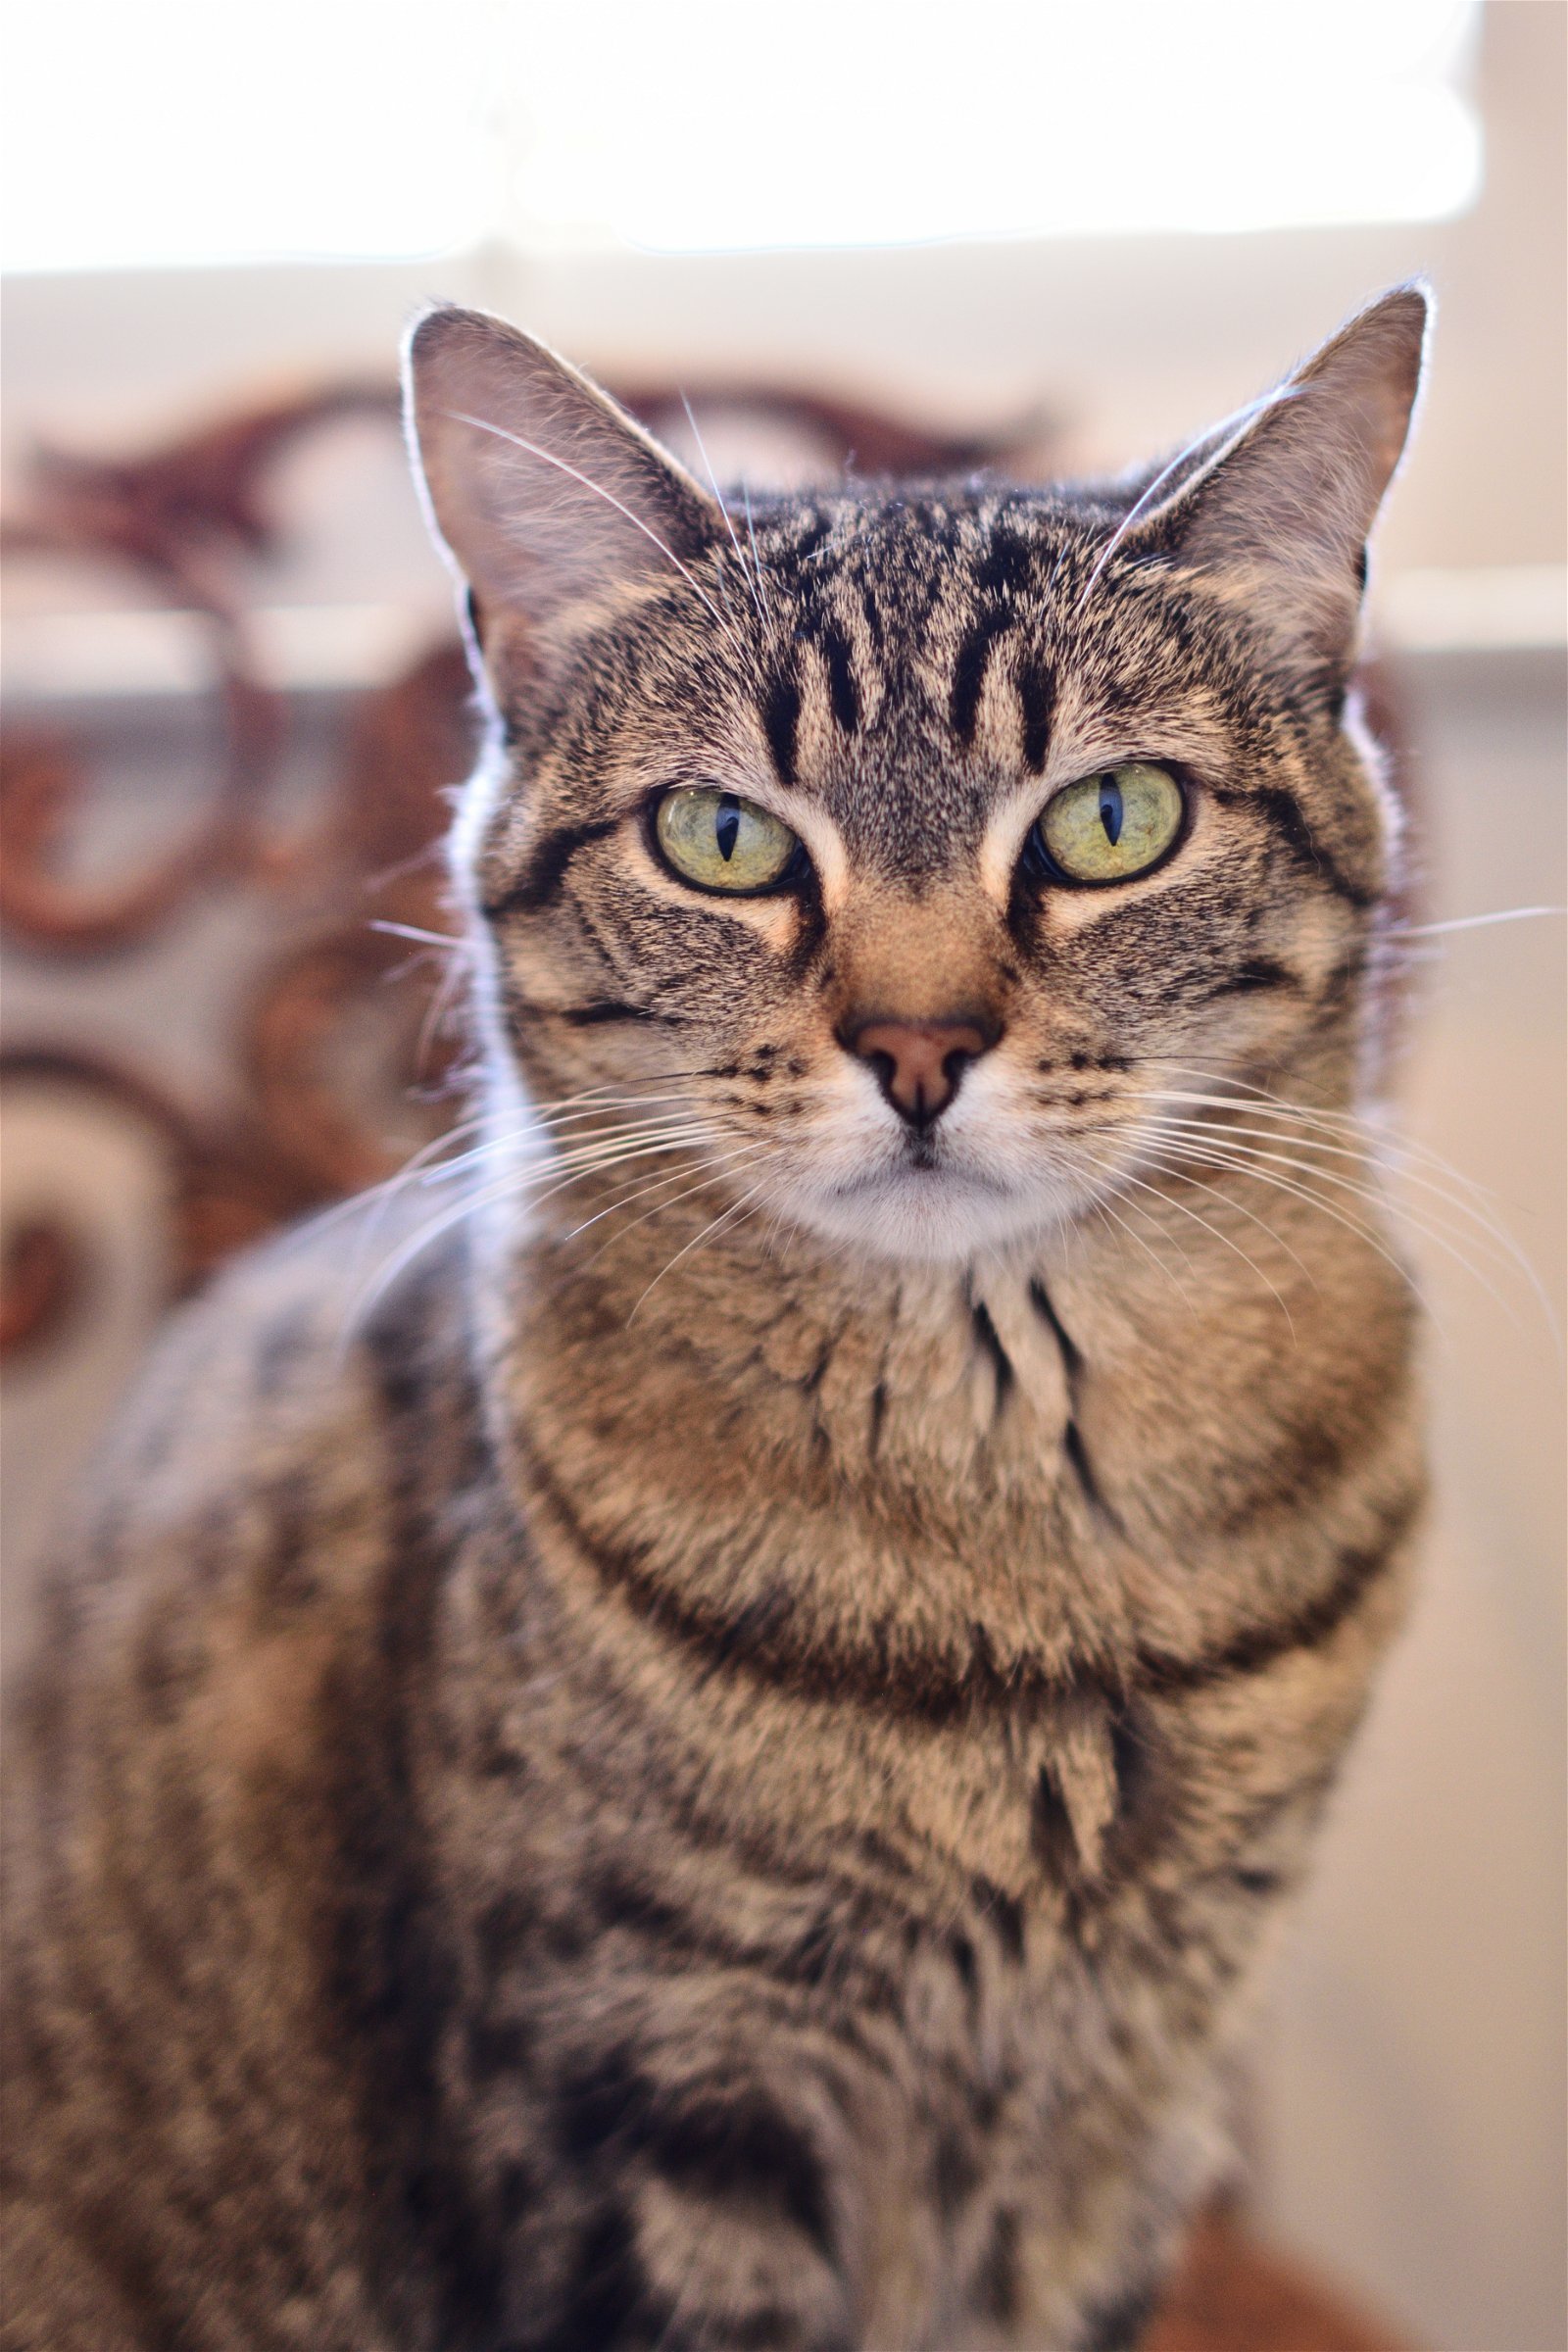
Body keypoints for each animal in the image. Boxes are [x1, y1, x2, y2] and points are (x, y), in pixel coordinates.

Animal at [3, 284, 1439, 2342]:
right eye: (724, 841)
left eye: (1113, 819)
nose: (918, 1047)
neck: (1022, 1566)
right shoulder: (651, 2098)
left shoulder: (1133, 2118)